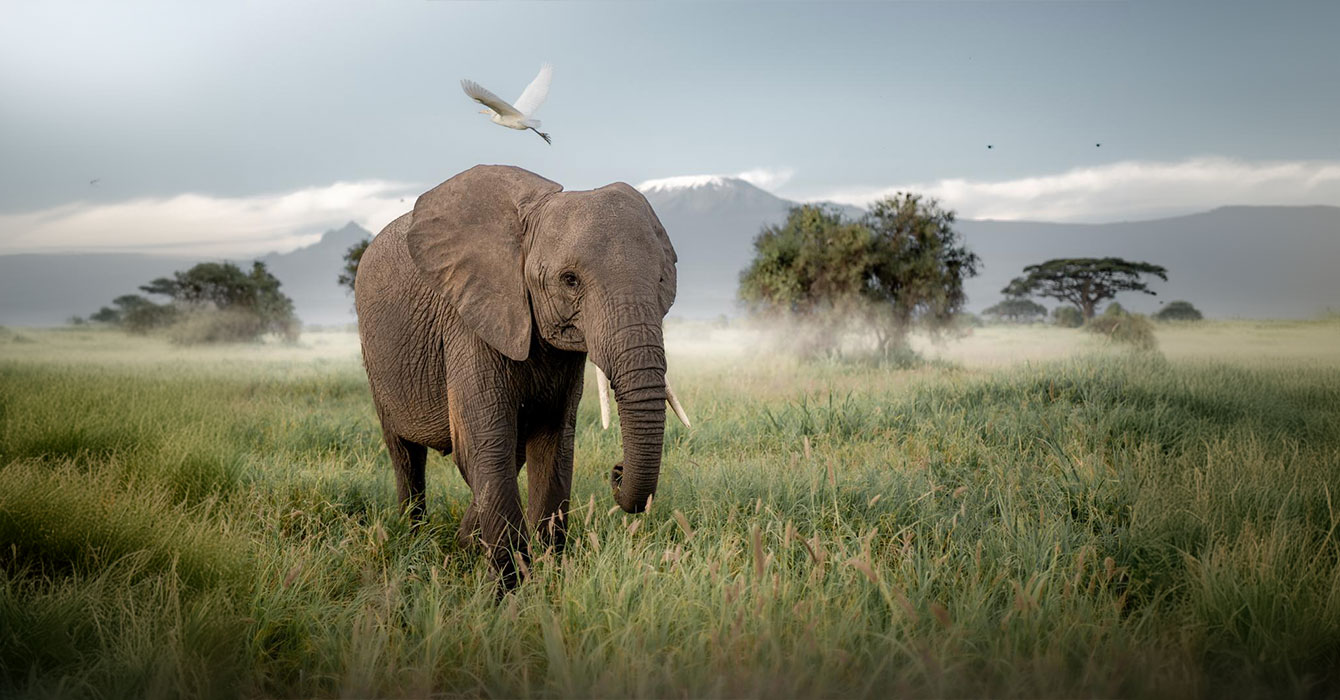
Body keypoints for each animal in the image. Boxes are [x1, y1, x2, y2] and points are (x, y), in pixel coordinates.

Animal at [353, 163, 686, 587]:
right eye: (570, 280)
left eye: (662, 280)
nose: (616, 471)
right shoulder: (470, 321)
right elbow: (486, 445)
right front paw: (509, 589)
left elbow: (554, 445)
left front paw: (550, 575)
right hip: (376, 361)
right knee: (405, 454)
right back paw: (415, 539)